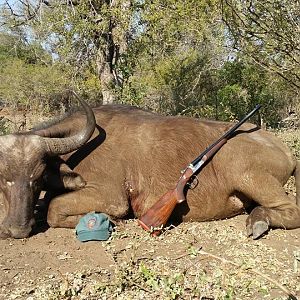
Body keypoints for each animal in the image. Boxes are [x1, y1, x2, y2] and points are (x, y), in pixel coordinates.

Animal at [0, 98, 298, 239]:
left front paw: (112, 221)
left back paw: (259, 221)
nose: (16, 229)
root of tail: (283, 149)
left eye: (36, 177)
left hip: (245, 172)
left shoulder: (112, 197)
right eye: (3, 179)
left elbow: (53, 209)